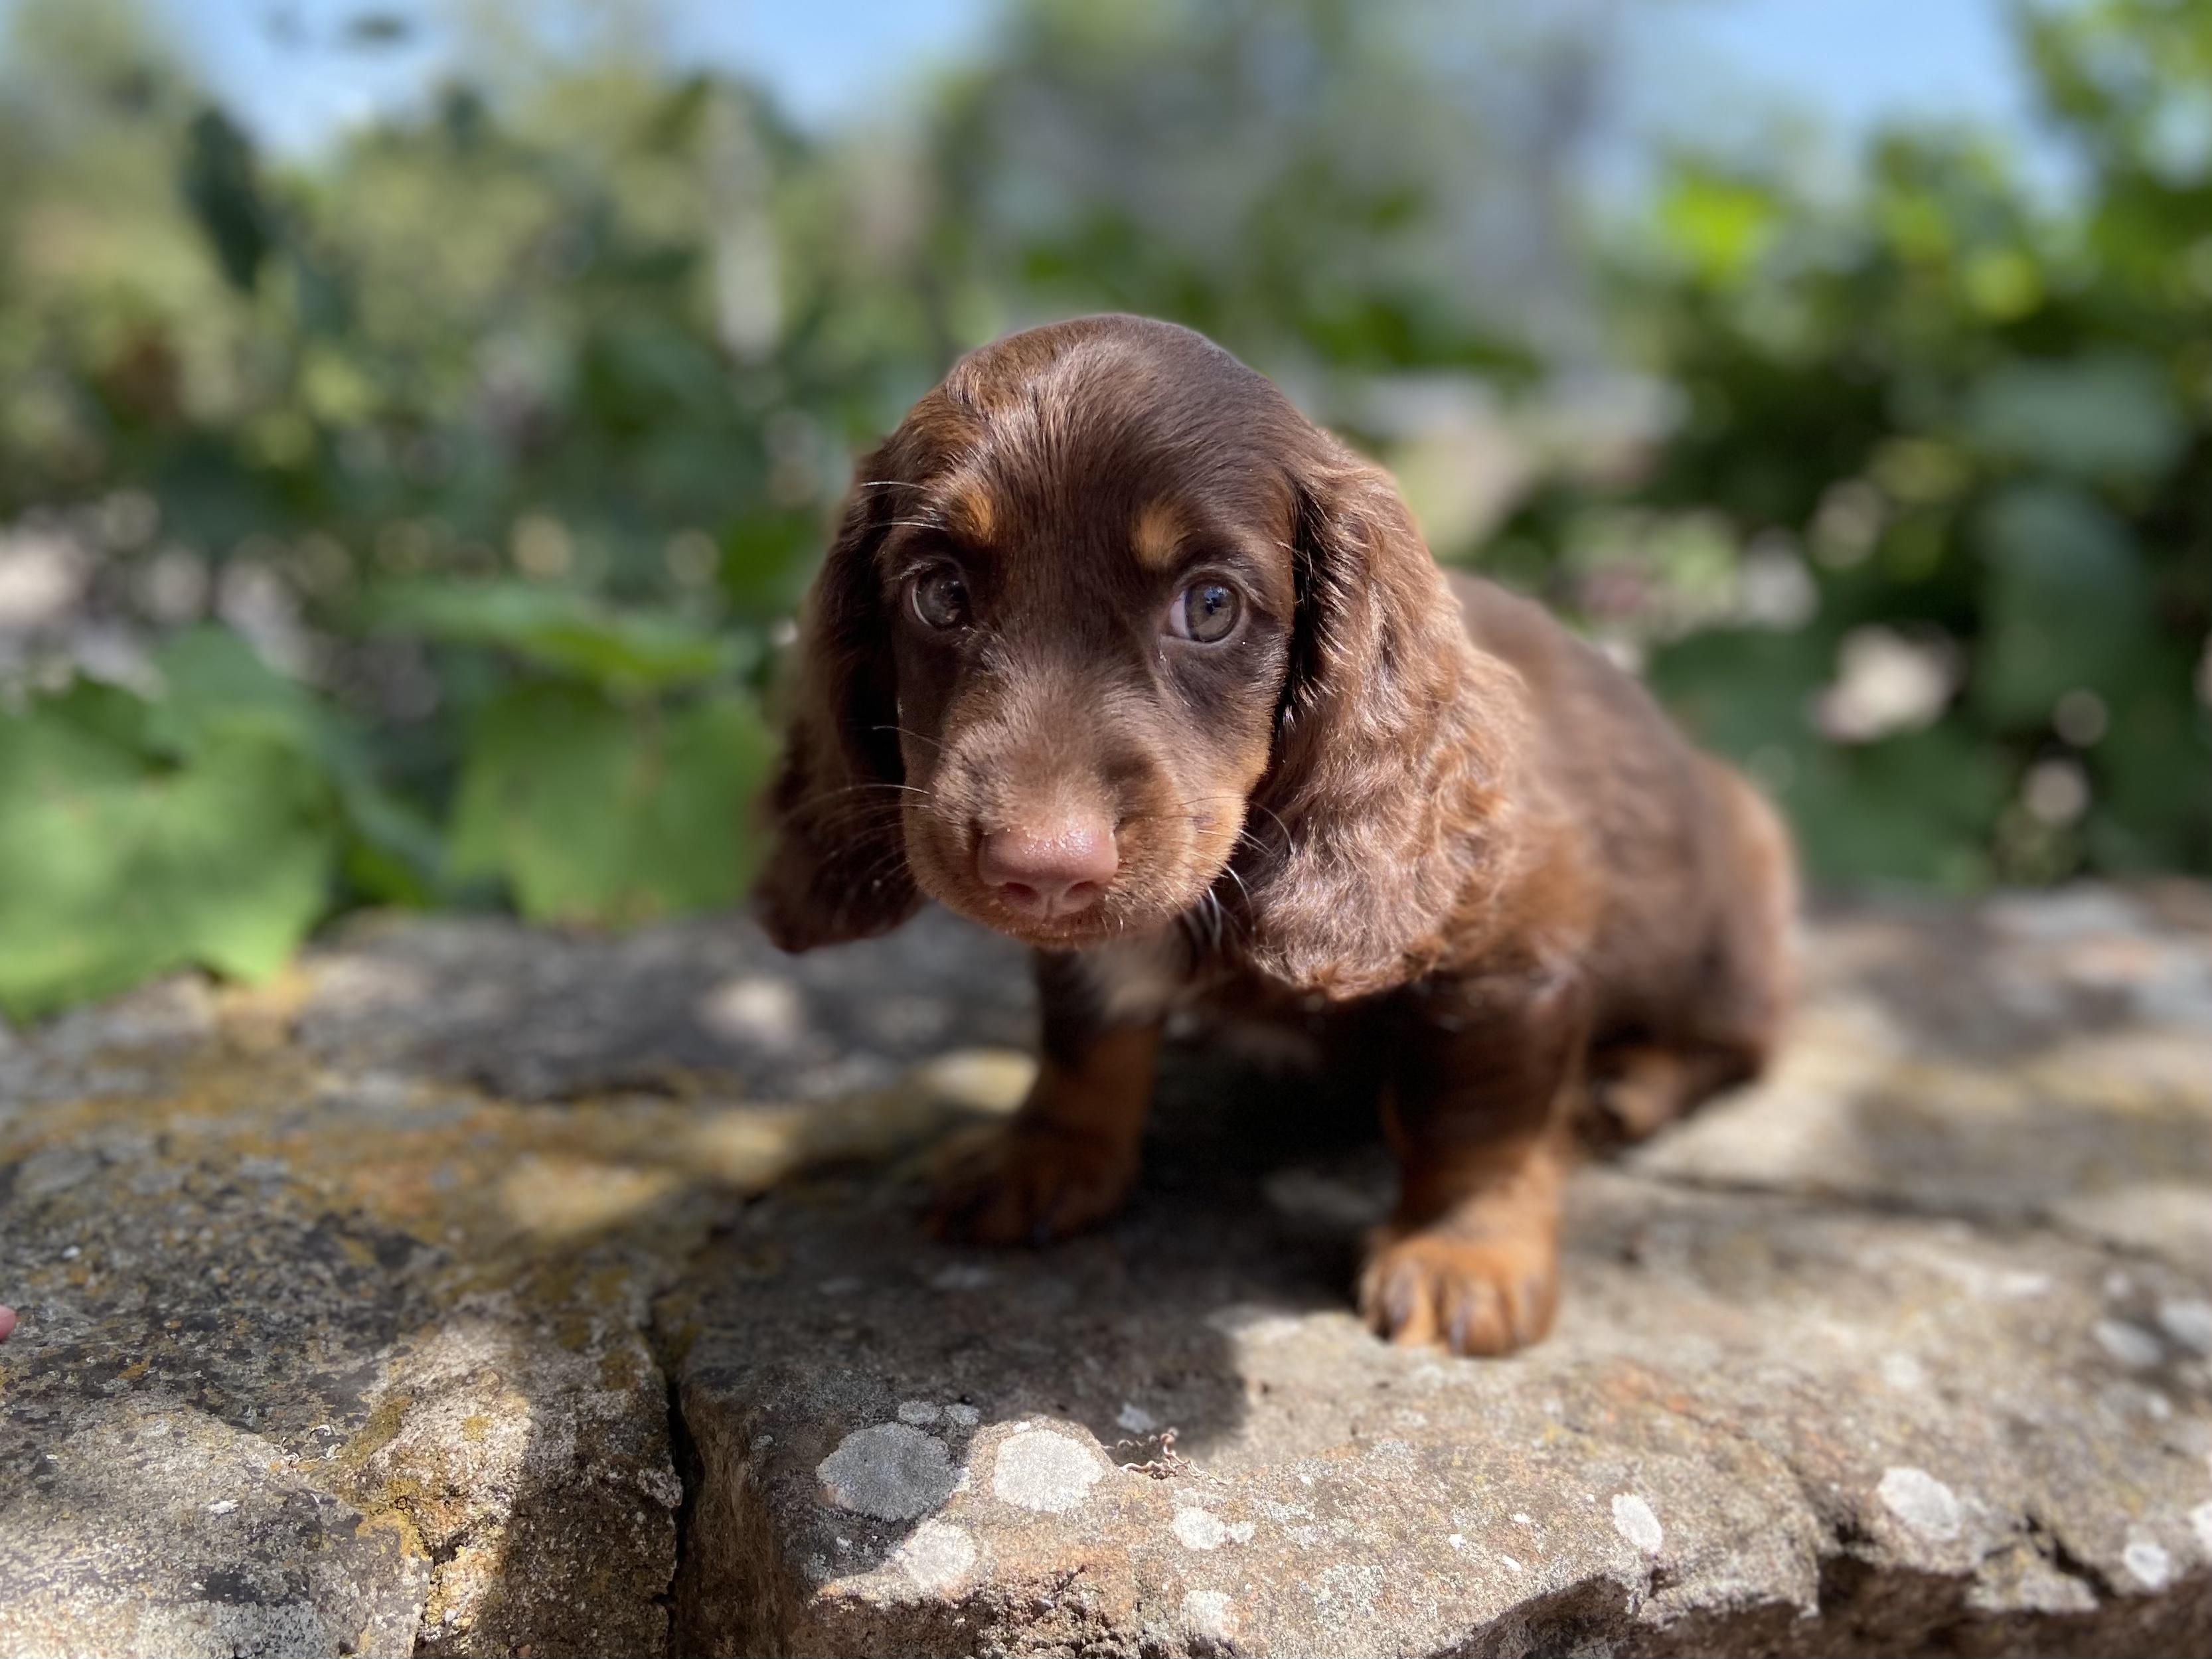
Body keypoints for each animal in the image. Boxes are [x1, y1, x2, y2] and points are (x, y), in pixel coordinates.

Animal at [755, 315, 1795, 1355]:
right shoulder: (1089, 959)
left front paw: (1463, 1251)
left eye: (1211, 606)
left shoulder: (1516, 959)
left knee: (1739, 1040)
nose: (1042, 870)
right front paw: (1046, 1149)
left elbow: (1478, 1119)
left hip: (1728, 925)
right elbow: (1085, 1035)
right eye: (938, 594)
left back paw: (1626, 1085)